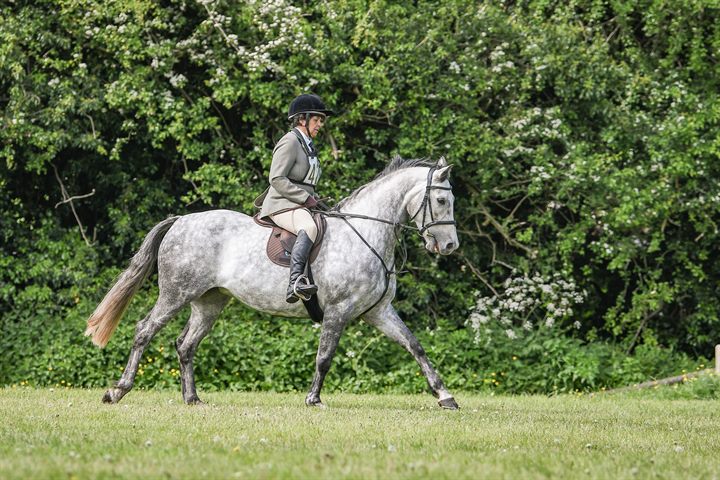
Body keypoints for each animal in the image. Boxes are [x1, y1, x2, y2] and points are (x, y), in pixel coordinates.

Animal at [85, 156, 460, 409]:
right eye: (442, 200)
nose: (450, 246)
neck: (366, 232)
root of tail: (180, 221)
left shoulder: (379, 311)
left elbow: (415, 346)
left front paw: (445, 396)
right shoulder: (339, 310)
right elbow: (325, 356)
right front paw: (314, 399)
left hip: (210, 301)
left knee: (185, 344)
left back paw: (192, 398)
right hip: (176, 293)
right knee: (145, 330)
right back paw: (117, 390)